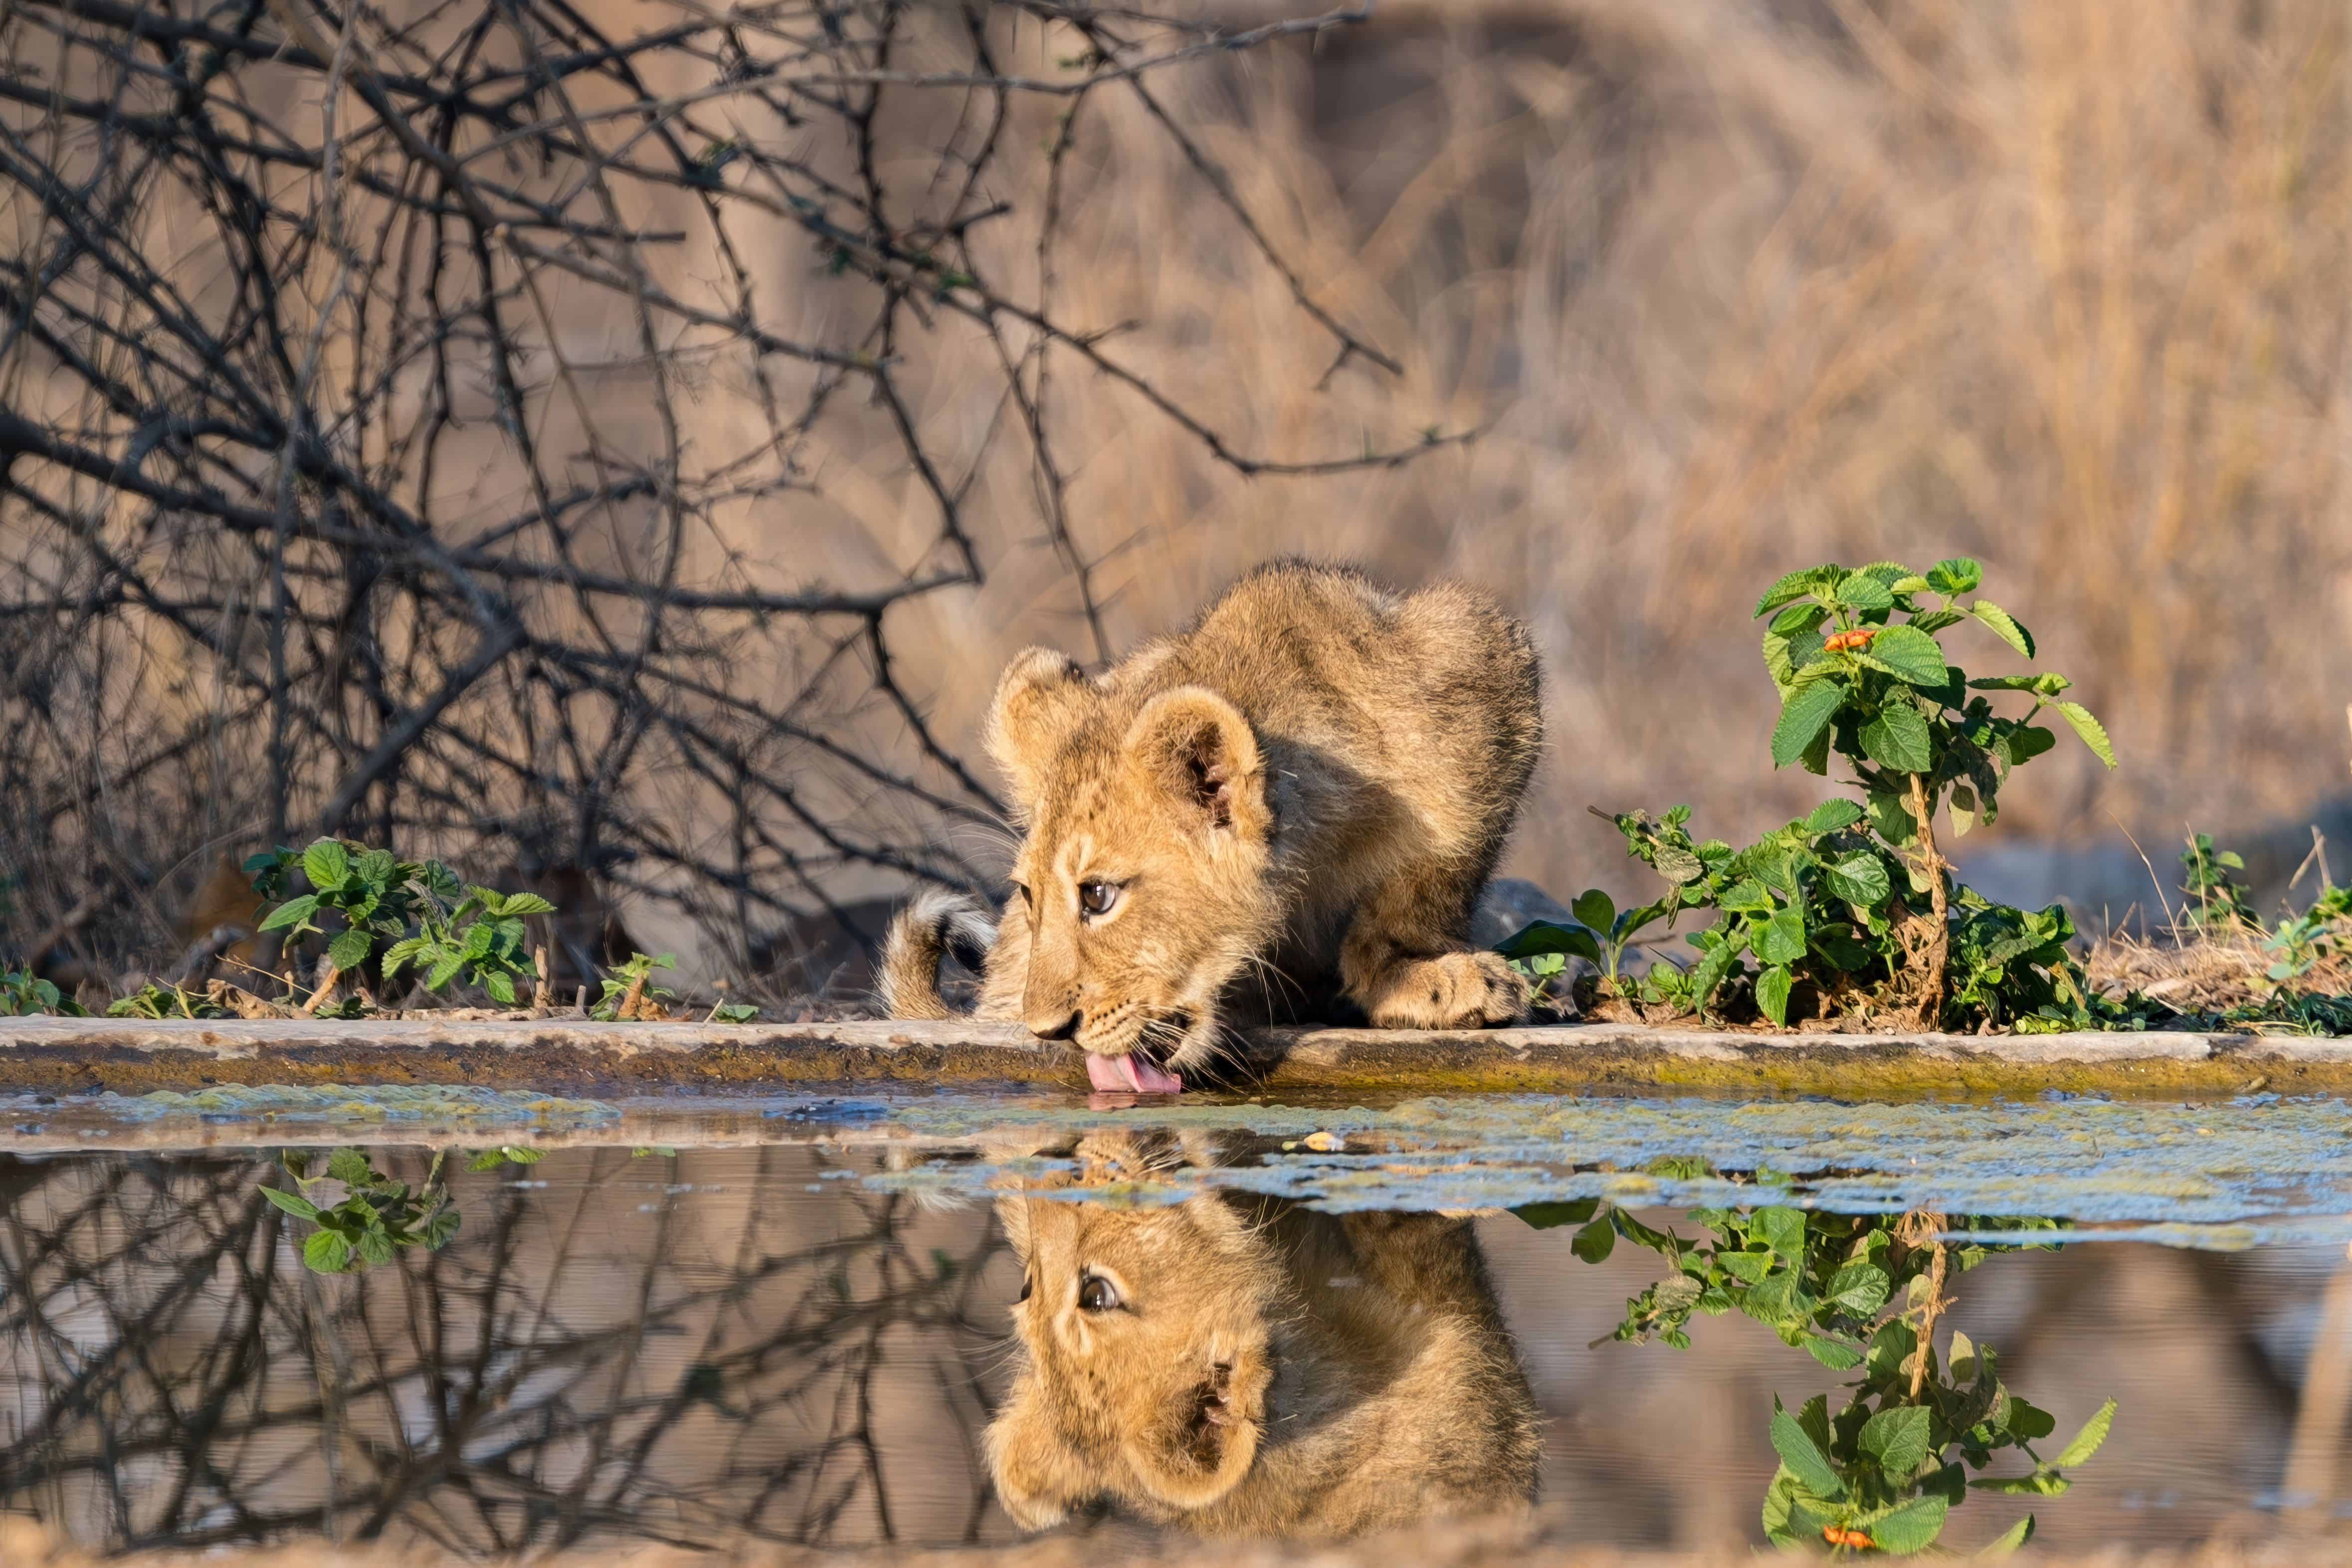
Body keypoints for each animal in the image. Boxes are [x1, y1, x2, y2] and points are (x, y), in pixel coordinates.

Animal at [883, 560, 1543, 1090]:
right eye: (1027, 894)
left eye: (1098, 897)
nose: (1047, 1032)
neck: (1315, 861)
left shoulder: (1482, 665)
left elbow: (1427, 884)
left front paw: (1430, 977)